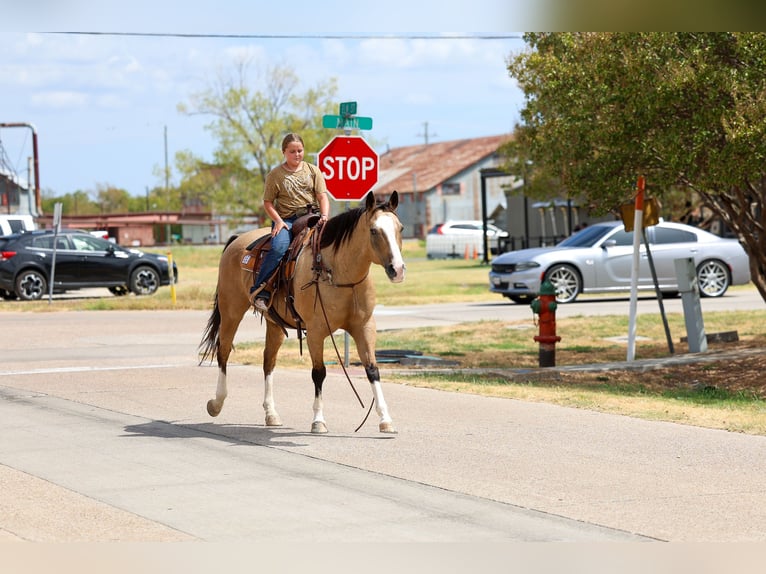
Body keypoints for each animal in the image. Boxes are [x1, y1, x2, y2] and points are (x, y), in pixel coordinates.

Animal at [199, 191, 406, 434]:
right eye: (374, 230)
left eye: (400, 228)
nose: (398, 270)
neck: (340, 273)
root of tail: (236, 240)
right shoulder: (316, 331)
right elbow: (319, 373)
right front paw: (318, 420)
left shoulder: (364, 327)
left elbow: (372, 369)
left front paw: (385, 420)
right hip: (231, 310)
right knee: (223, 352)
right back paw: (216, 403)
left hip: (274, 324)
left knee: (268, 362)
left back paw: (271, 414)